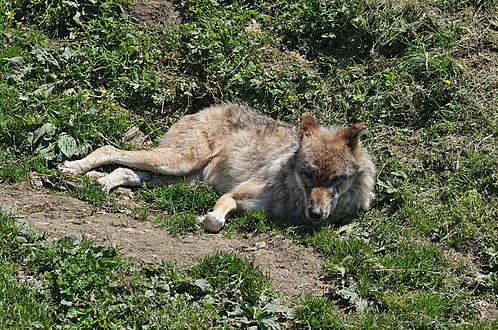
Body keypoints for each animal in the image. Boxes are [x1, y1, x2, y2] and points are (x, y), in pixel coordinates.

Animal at [57, 103, 374, 232]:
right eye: (308, 175)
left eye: (335, 180)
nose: (316, 214)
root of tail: (209, 107)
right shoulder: (235, 194)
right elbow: (217, 215)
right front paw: (205, 218)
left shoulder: (252, 207)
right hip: (178, 162)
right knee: (110, 148)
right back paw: (74, 169)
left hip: (179, 178)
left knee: (125, 170)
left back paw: (99, 181)